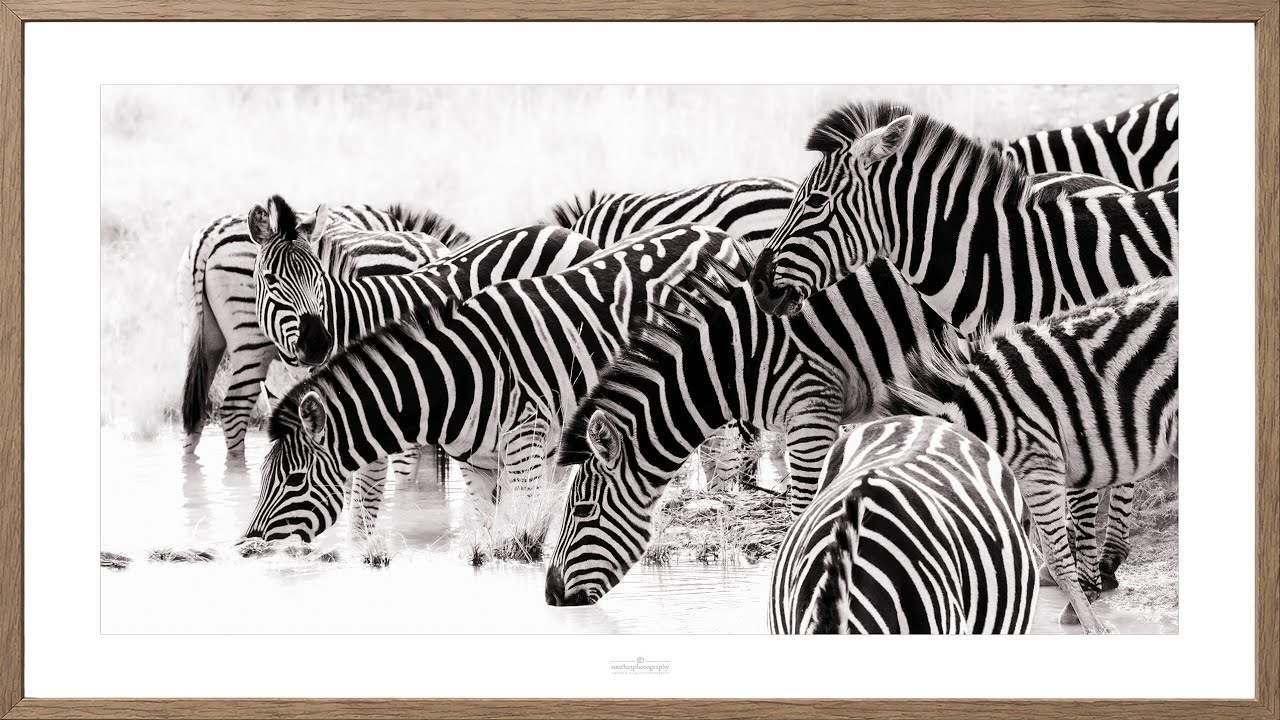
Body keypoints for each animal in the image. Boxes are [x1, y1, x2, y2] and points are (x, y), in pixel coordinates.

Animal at [179, 202, 467, 457]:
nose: (316, 344)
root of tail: (208, 236)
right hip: (251, 342)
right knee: (234, 409)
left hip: (206, 337)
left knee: (194, 415)